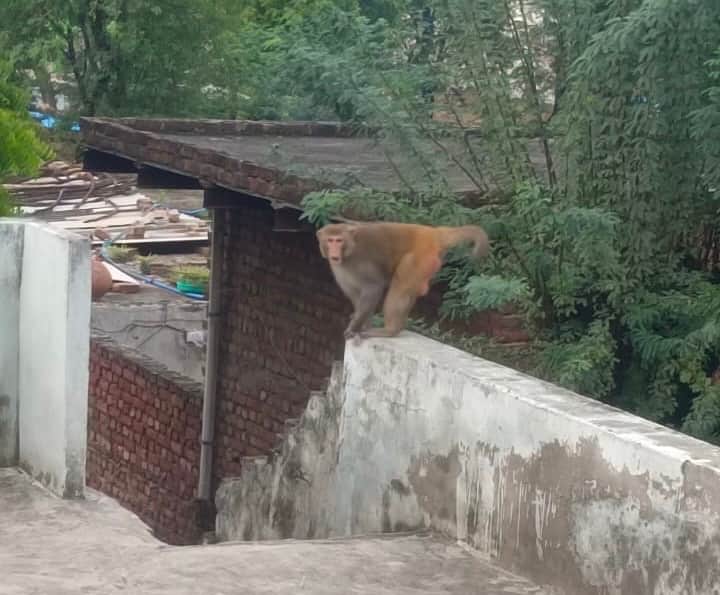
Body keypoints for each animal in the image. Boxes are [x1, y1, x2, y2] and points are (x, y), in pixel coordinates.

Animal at [316, 221, 489, 340]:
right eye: (330, 240)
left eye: (338, 240)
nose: (334, 252)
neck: (349, 253)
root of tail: (433, 233)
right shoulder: (340, 269)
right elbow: (355, 294)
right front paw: (363, 323)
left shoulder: (361, 262)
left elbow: (373, 288)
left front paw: (354, 328)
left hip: (419, 258)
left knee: (401, 285)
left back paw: (390, 330)